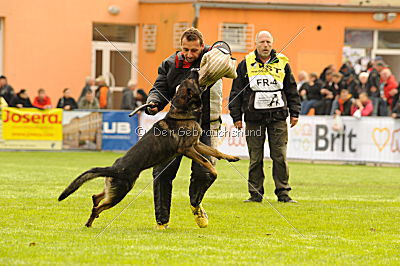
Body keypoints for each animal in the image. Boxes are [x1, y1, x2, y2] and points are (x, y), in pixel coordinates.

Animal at [57, 70, 239, 227]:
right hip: (120, 192)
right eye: (191, 81)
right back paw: (89, 223)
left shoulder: (196, 144)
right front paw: (214, 171)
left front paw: (231, 157)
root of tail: (114, 168)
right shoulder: (188, 149)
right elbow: (205, 161)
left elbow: (215, 152)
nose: (194, 69)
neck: (182, 113)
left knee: (96, 197)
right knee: (98, 207)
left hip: (114, 188)